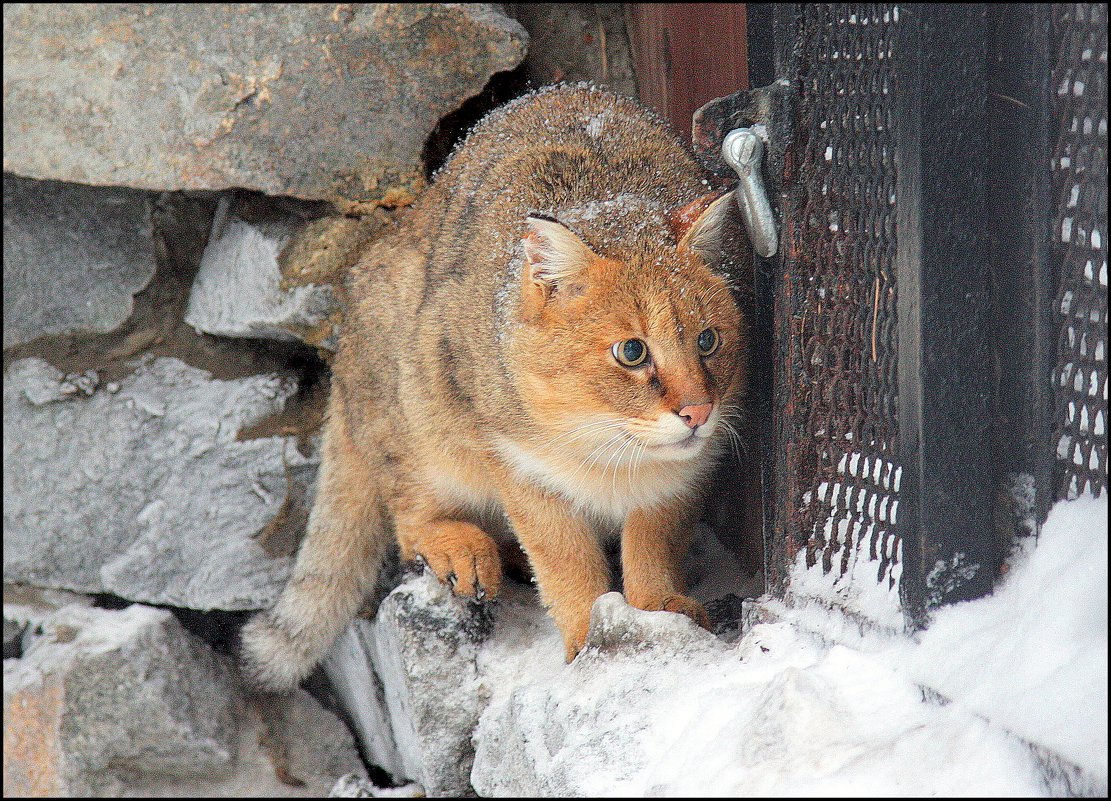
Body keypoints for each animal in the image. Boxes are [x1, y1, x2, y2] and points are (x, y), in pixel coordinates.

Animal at [242, 82, 746, 693]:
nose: (698, 411)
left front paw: (655, 610)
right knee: (406, 514)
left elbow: (653, 546)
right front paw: (587, 639)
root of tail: (345, 361)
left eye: (708, 340)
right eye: (632, 351)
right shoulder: (524, 469)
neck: (605, 448)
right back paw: (461, 546)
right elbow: (566, 563)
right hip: (418, 413)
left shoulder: (677, 481)